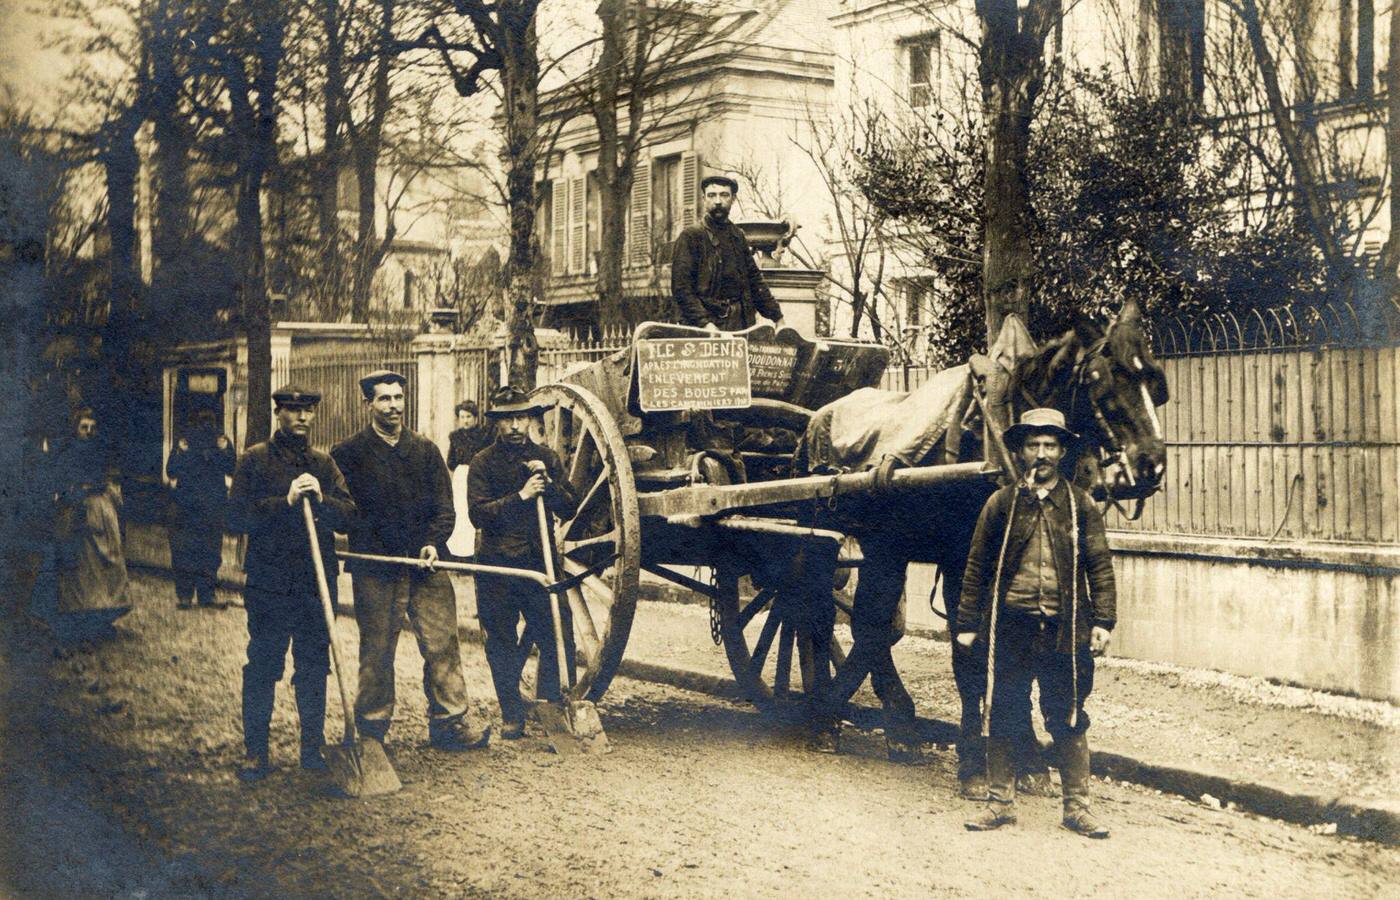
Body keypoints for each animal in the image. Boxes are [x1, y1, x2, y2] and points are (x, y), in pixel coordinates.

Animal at [800, 299, 1170, 783]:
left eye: (1155, 384)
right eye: (1104, 381)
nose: (1152, 465)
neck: (1001, 437)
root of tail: (816, 419)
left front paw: (1026, 754)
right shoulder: (964, 559)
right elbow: (972, 656)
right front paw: (976, 757)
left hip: (886, 546)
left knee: (872, 626)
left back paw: (892, 724)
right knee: (822, 614)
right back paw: (833, 715)